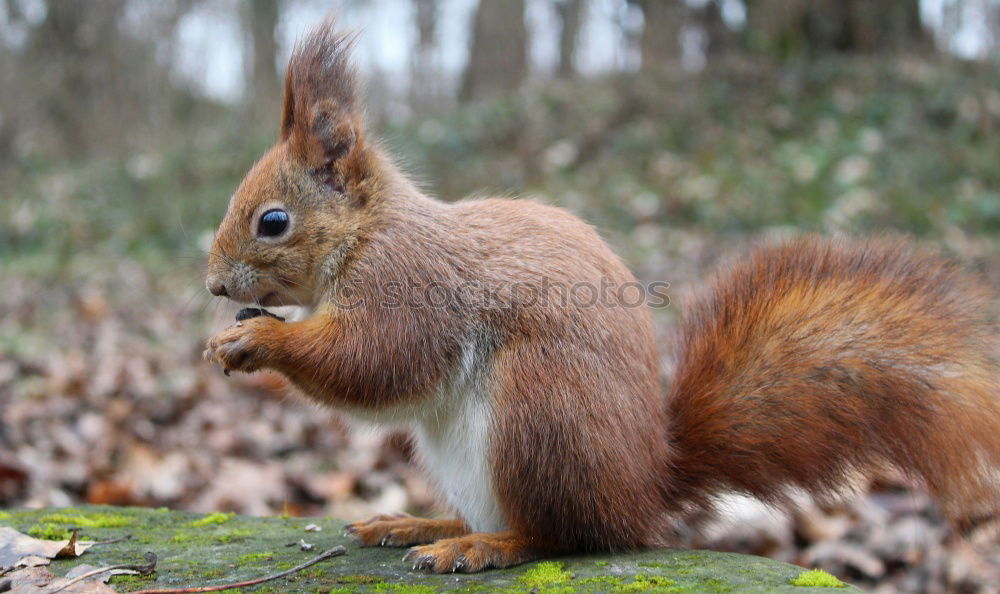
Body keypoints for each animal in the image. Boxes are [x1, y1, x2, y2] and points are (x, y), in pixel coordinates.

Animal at [205, 22, 1000, 568]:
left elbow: (375, 361)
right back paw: (420, 524)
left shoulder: (410, 284)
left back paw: (481, 547)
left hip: (538, 414)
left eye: (272, 222)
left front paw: (258, 340)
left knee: (561, 536)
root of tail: (642, 490)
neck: (368, 233)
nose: (213, 283)